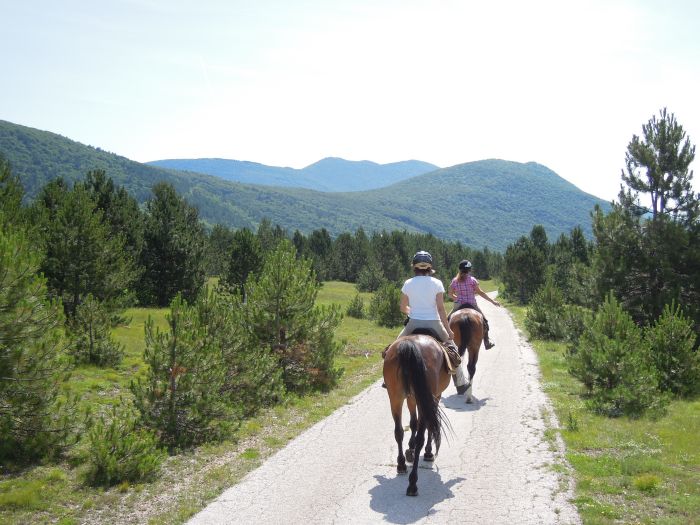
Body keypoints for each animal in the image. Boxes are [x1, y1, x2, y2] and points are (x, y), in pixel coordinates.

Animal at [380, 334, 452, 498]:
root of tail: (409, 346)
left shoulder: (411, 398)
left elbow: (413, 423)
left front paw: (410, 450)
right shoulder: (434, 397)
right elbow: (429, 426)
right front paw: (428, 452)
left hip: (395, 397)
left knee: (398, 431)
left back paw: (401, 465)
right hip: (423, 398)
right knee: (421, 437)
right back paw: (412, 484)